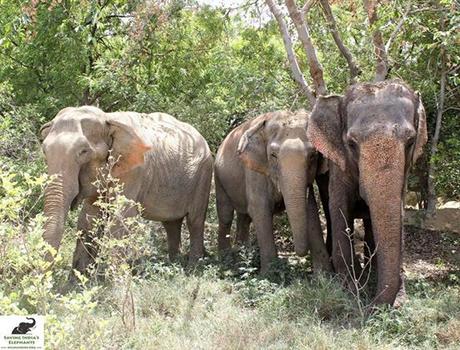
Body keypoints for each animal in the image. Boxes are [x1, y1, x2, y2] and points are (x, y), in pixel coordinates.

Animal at [40, 105, 213, 272]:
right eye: (44, 151)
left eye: (83, 151)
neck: (107, 118)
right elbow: (89, 217)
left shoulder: (134, 171)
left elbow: (122, 216)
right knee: (171, 223)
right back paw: (174, 264)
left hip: (203, 174)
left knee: (195, 220)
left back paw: (192, 269)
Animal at [214, 110, 332, 274]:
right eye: (273, 155)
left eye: (313, 155)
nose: (300, 254)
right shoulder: (254, 170)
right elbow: (260, 210)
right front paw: (269, 274)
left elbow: (311, 211)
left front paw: (324, 275)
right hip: (219, 178)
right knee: (226, 216)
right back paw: (227, 261)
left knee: (244, 218)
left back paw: (243, 256)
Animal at [308, 80, 430, 306]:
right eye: (351, 144)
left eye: (410, 142)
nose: (372, 307)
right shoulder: (339, 165)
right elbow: (339, 208)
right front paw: (349, 290)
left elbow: (397, 214)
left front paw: (399, 300)